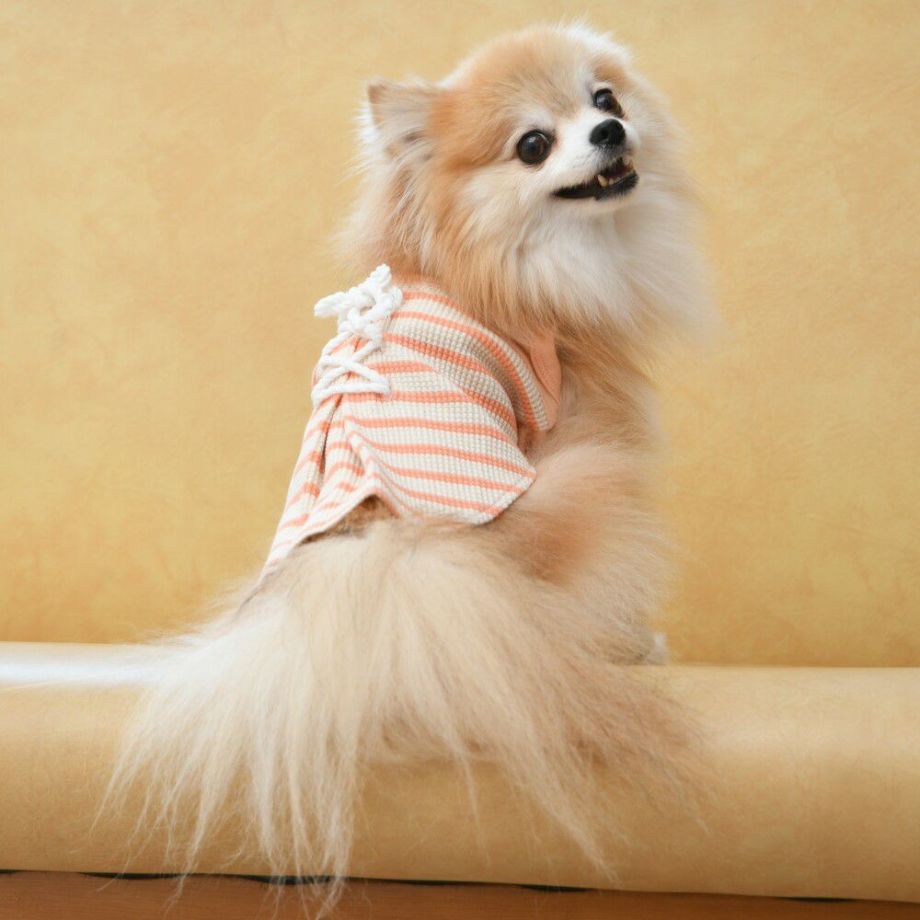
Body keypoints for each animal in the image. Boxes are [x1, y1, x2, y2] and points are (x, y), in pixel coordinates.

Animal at [108, 20, 713, 914]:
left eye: (604, 97)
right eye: (533, 145)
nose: (610, 132)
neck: (517, 263)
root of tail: (395, 552)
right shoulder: (574, 411)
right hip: (586, 482)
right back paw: (626, 647)